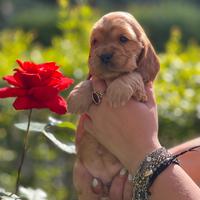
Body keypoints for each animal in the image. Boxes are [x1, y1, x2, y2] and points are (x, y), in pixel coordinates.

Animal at [68, 11, 160, 198]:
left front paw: (117, 91)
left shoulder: (141, 93)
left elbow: (132, 75)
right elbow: (91, 79)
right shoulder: (95, 76)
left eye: (123, 39)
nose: (104, 55)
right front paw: (76, 96)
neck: (111, 78)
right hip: (82, 175)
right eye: (95, 41)